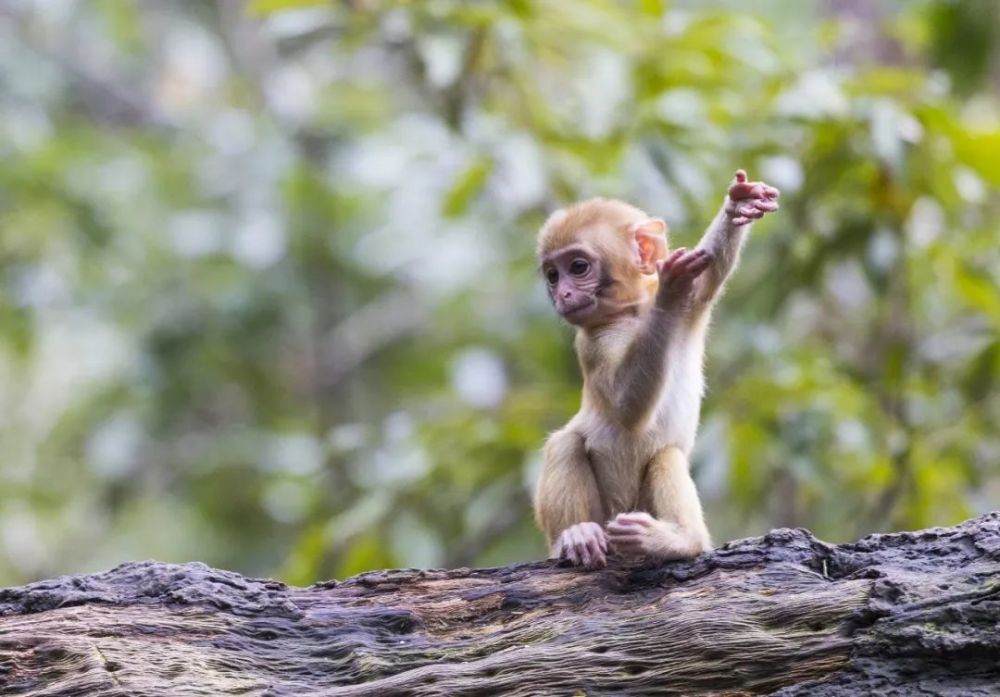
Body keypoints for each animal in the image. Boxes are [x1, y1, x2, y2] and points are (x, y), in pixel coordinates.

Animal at [536, 170, 776, 564]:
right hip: (606, 517)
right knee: (565, 441)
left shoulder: (693, 305)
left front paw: (740, 202)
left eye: (578, 267)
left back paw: (678, 540)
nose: (563, 295)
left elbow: (709, 271)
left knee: (667, 456)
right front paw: (669, 291)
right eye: (553, 276)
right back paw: (574, 538)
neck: (632, 312)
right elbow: (628, 408)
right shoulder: (592, 344)